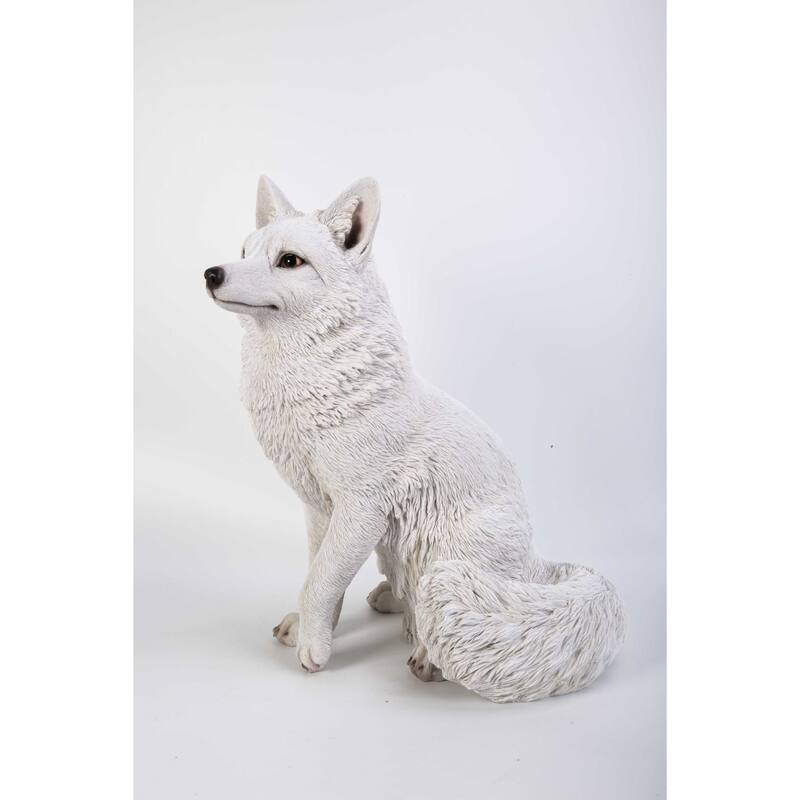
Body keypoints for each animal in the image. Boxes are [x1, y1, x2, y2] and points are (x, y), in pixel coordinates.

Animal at [204, 175, 625, 702]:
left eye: (289, 261)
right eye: (245, 251)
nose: (211, 273)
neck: (318, 381)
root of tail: (537, 569)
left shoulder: (361, 509)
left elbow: (320, 580)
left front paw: (314, 649)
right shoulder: (320, 508)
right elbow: (319, 575)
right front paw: (310, 627)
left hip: (456, 547)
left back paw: (427, 654)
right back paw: (392, 598)